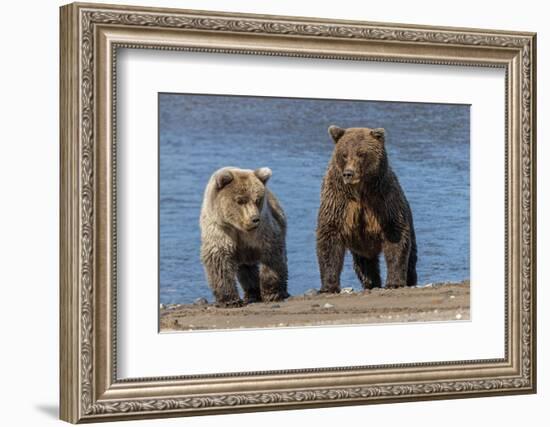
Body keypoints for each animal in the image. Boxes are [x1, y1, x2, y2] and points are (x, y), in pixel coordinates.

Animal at [201, 167, 292, 308]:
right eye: (240, 200)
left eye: (258, 199)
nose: (254, 219)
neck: (238, 226)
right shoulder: (220, 229)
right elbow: (219, 260)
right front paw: (230, 300)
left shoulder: (262, 230)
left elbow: (271, 255)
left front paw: (272, 294)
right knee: (247, 270)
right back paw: (252, 293)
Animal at [320, 125, 418, 292]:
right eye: (344, 154)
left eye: (361, 153)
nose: (348, 173)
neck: (360, 191)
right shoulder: (339, 202)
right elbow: (329, 238)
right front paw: (329, 286)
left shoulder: (383, 200)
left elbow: (396, 236)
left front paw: (394, 282)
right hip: (360, 248)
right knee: (364, 266)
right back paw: (371, 283)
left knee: (411, 258)